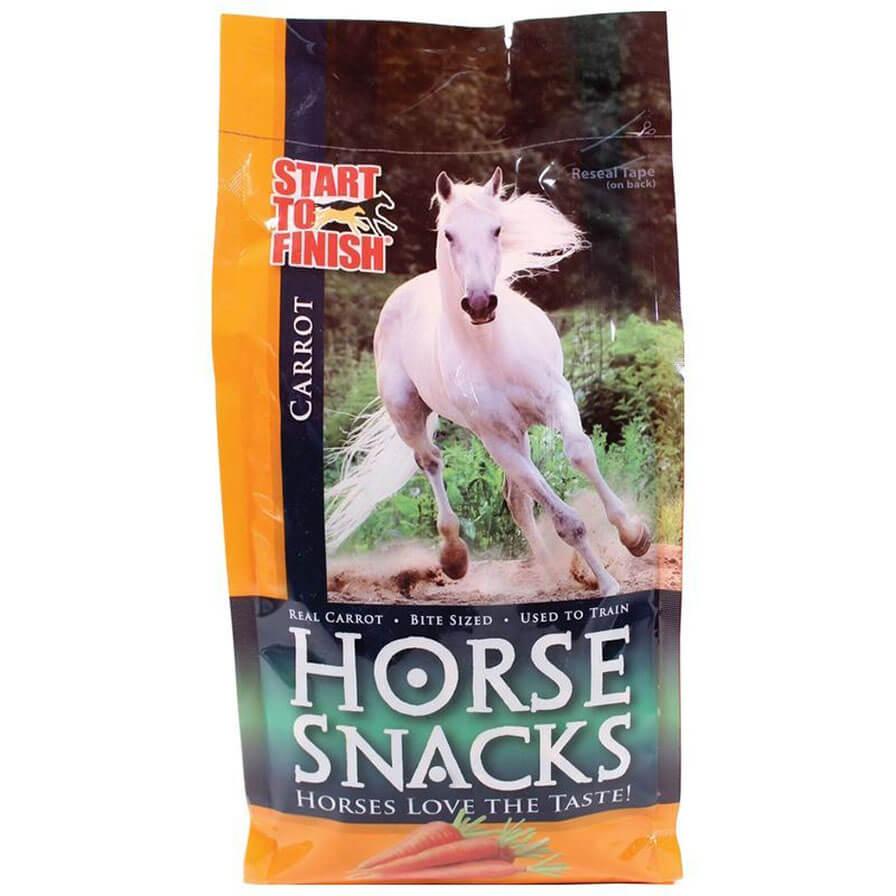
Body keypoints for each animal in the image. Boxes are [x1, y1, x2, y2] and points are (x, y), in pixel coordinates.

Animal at [326, 168, 650, 596]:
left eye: (497, 229)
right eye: (448, 234)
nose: (480, 304)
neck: (491, 349)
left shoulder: (557, 399)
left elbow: (580, 452)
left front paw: (634, 535)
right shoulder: (497, 439)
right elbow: (566, 521)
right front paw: (609, 586)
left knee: (515, 498)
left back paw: (551, 573)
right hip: (408, 414)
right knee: (432, 461)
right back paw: (455, 556)